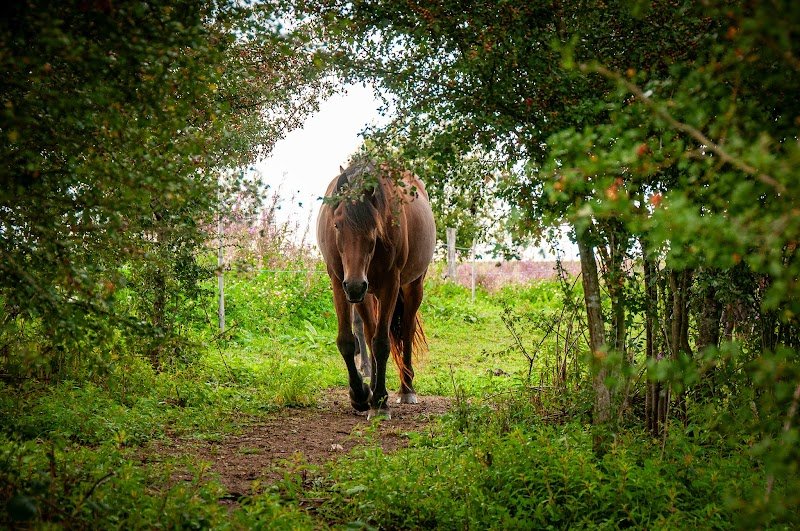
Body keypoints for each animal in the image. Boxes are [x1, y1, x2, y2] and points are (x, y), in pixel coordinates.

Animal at [317, 160, 436, 419]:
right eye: (337, 225)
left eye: (373, 227)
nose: (354, 285)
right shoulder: (342, 284)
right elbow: (348, 341)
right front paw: (361, 395)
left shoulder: (389, 284)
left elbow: (382, 343)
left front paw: (380, 402)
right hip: (367, 293)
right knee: (369, 334)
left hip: (411, 287)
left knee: (406, 332)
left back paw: (406, 390)